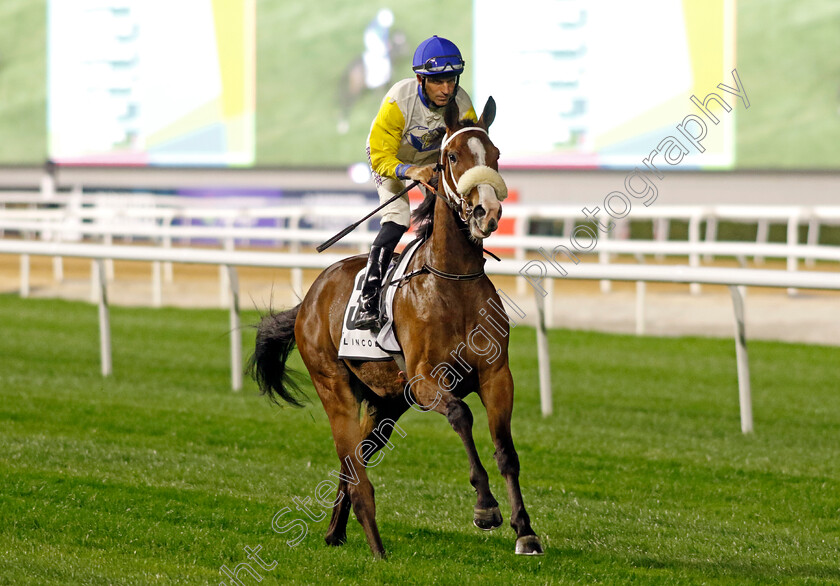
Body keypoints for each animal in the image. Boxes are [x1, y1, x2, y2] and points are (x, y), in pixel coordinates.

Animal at [248, 97, 544, 556]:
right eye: (452, 156)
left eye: (495, 155)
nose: (487, 212)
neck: (451, 282)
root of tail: (309, 298)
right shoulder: (425, 380)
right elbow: (460, 415)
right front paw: (485, 507)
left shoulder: (496, 375)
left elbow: (506, 450)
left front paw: (525, 530)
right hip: (334, 386)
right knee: (352, 459)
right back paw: (371, 542)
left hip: (386, 402)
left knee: (354, 459)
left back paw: (336, 531)